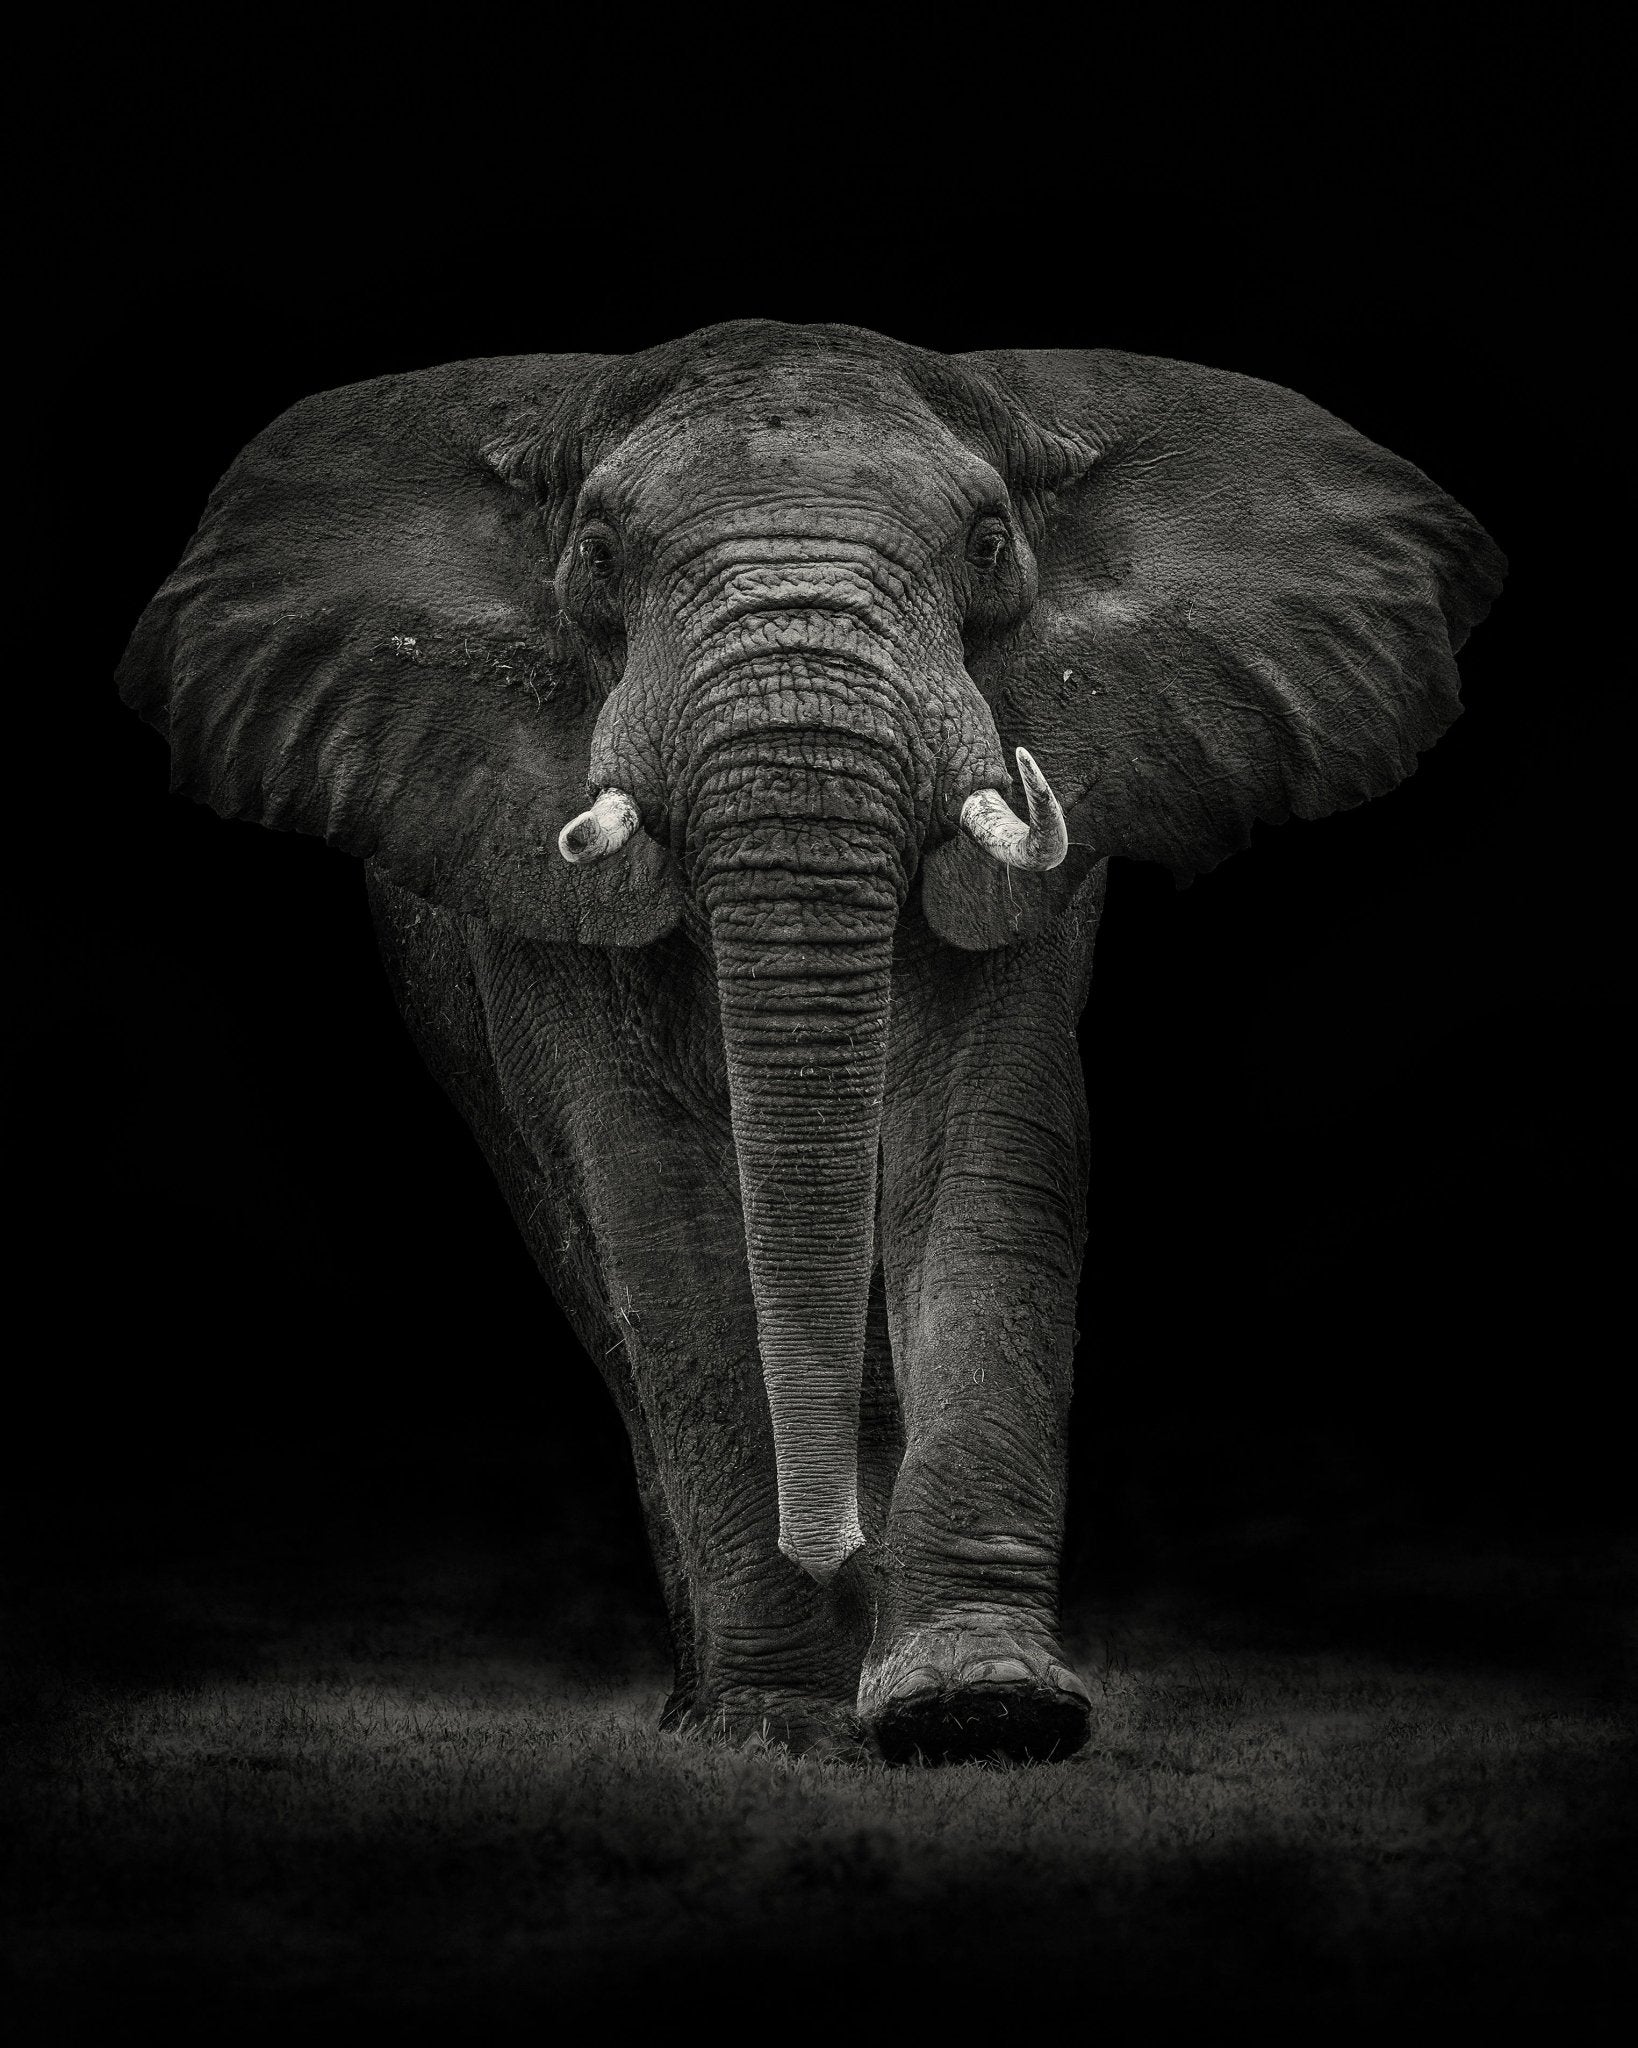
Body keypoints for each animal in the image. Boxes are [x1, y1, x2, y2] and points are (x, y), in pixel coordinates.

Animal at [118, 320, 1504, 1763]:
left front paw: (979, 1709)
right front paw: (779, 1724)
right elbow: (657, 1203)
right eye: (596, 551)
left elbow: (981, 1149)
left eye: (990, 544)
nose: (824, 1543)